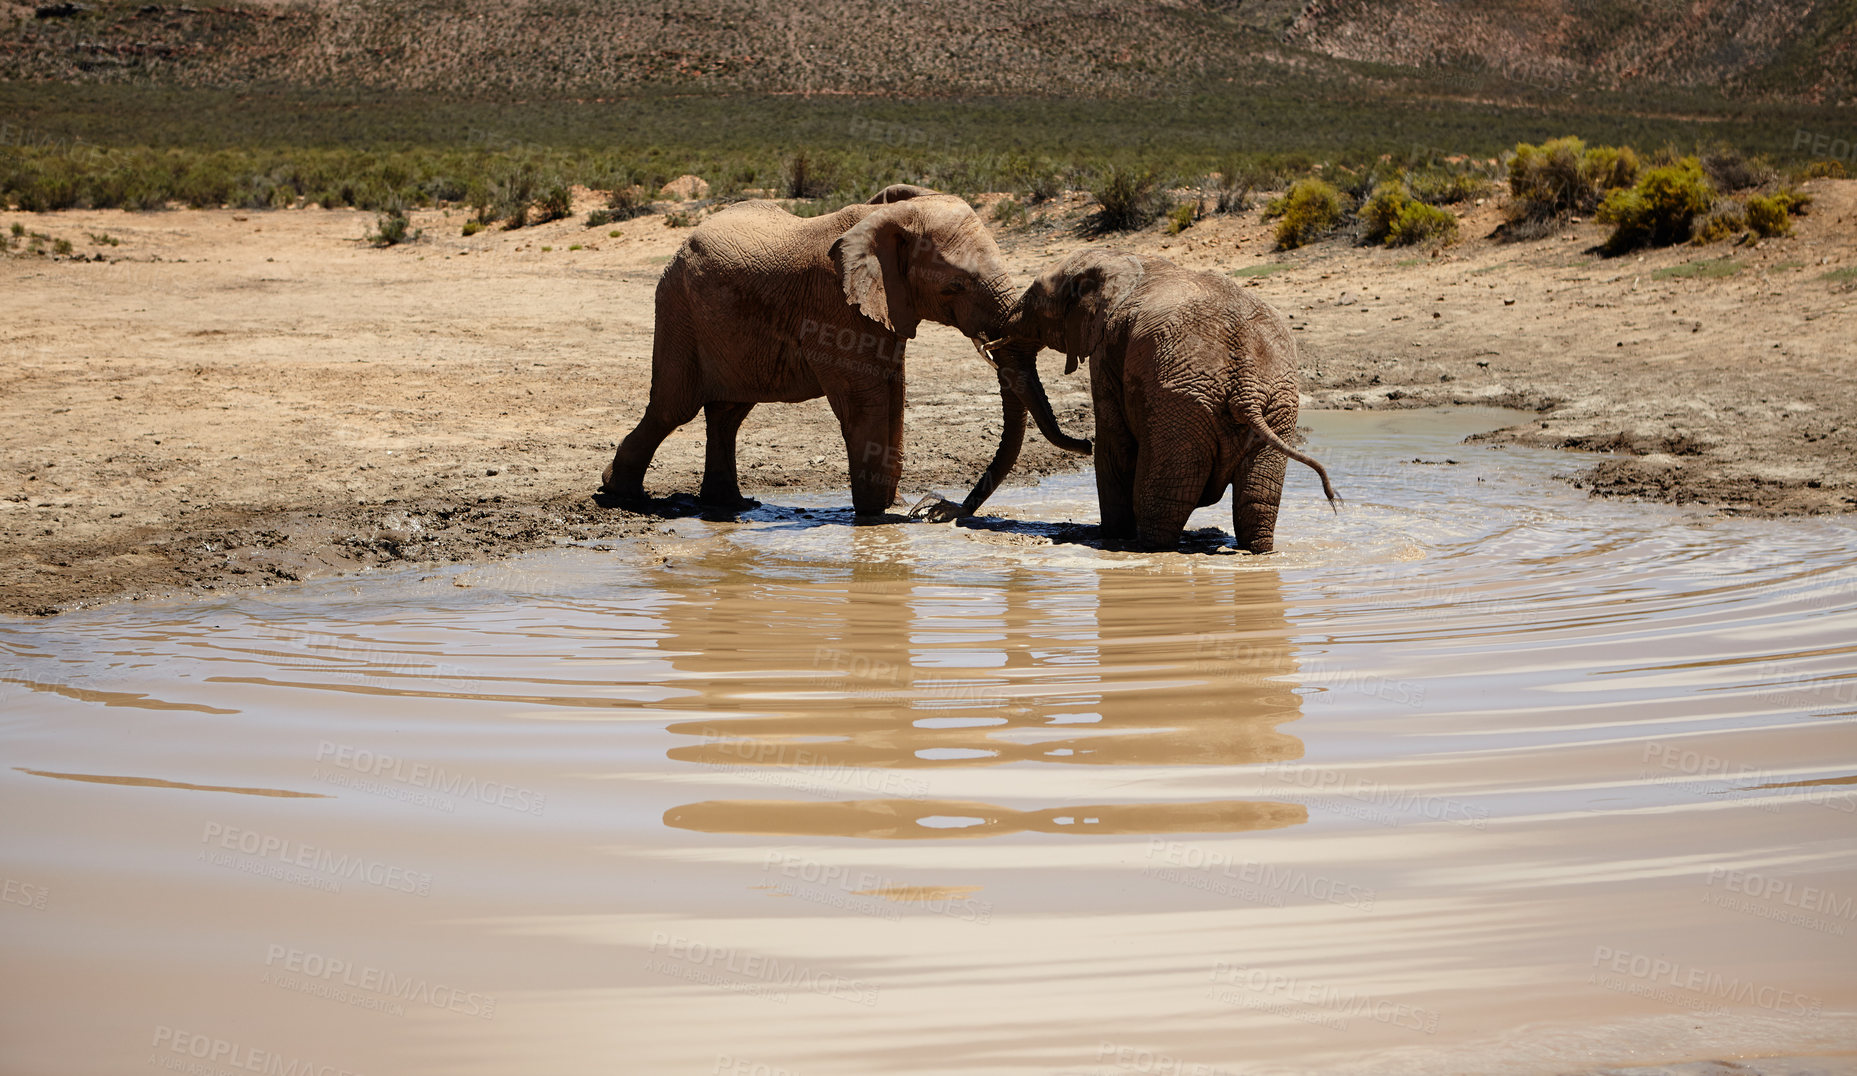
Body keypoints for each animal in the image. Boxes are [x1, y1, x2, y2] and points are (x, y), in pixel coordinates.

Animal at [600, 187, 1090, 518]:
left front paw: (892, 508)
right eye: (955, 286)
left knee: (729, 412)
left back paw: (729, 505)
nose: (938, 508)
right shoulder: (836, 306)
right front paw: (875, 516)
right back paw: (620, 492)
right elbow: (866, 402)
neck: (888, 219)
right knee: (674, 406)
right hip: (677, 305)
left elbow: (895, 395)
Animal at [987, 249, 1340, 552]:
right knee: (1257, 501)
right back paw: (1259, 551)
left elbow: (1114, 443)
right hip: (1276, 405)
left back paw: (1147, 549)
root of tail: (1246, 388)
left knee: (1161, 506)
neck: (1124, 258)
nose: (1083, 444)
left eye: (1033, 295)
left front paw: (1112, 537)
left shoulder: (1106, 348)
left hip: (1182, 406)